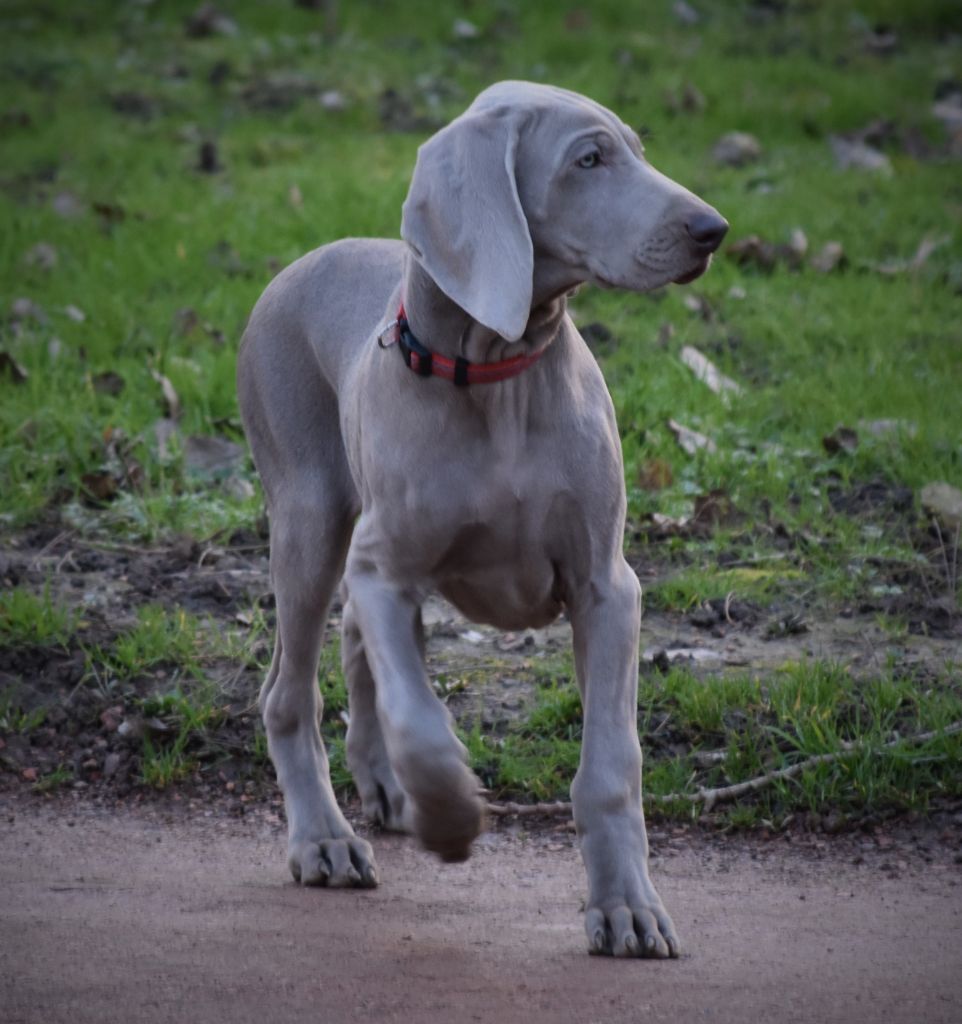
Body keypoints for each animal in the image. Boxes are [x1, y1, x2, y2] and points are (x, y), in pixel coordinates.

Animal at [236, 81, 725, 958]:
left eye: (638, 150)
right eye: (588, 159)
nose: (713, 229)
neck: (497, 371)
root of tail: (302, 259)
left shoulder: (608, 587)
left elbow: (612, 764)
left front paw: (627, 907)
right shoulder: (385, 568)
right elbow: (421, 718)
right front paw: (453, 814)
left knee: (354, 644)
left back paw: (382, 786)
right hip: (309, 518)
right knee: (289, 692)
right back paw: (324, 837)